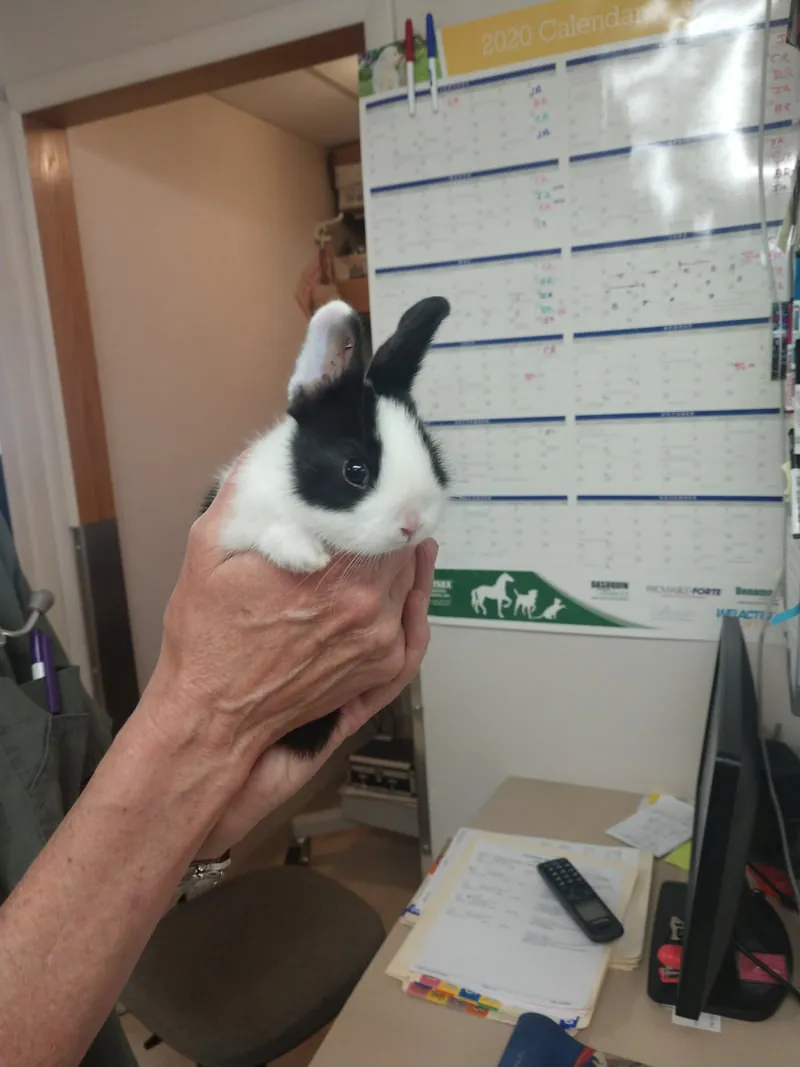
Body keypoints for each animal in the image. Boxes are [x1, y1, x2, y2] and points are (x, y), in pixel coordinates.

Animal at [200, 295, 451, 756]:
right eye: (355, 470)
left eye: (431, 451)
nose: (411, 523)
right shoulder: (236, 518)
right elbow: (267, 527)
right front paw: (305, 557)